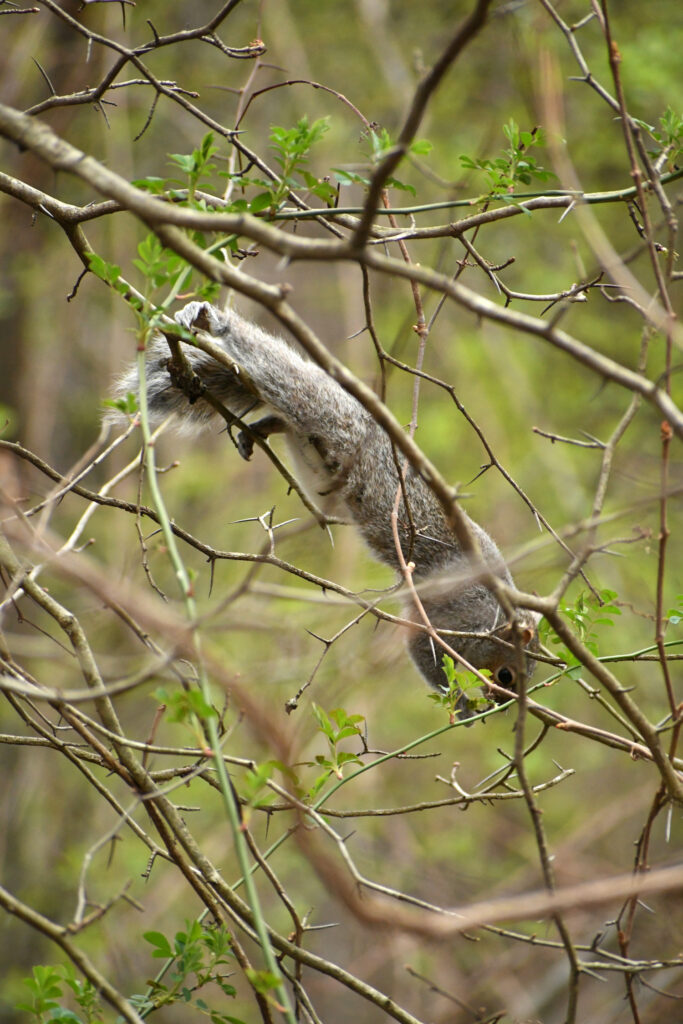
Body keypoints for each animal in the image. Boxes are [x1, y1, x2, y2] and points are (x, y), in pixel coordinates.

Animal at [114, 300, 539, 713]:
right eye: (507, 675)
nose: (501, 705)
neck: (495, 615)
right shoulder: (451, 619)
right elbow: (422, 650)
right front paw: (462, 706)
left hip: (318, 462)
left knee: (289, 425)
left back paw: (261, 429)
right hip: (322, 411)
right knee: (278, 373)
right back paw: (216, 324)